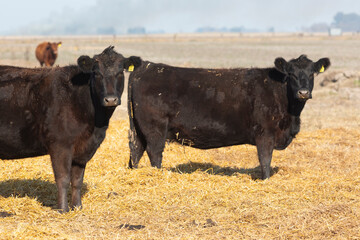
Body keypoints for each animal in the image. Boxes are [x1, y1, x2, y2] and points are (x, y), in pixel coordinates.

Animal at [0, 46, 141, 211]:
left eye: (120, 72)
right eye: (96, 73)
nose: (111, 99)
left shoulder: (83, 149)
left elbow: (77, 180)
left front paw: (77, 206)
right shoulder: (60, 145)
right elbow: (63, 178)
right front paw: (62, 209)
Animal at [128, 54, 330, 178]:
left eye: (312, 73)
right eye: (291, 74)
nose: (303, 92)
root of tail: (146, 66)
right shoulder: (265, 133)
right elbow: (265, 160)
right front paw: (265, 179)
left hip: (139, 128)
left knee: (136, 150)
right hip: (154, 128)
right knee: (154, 152)